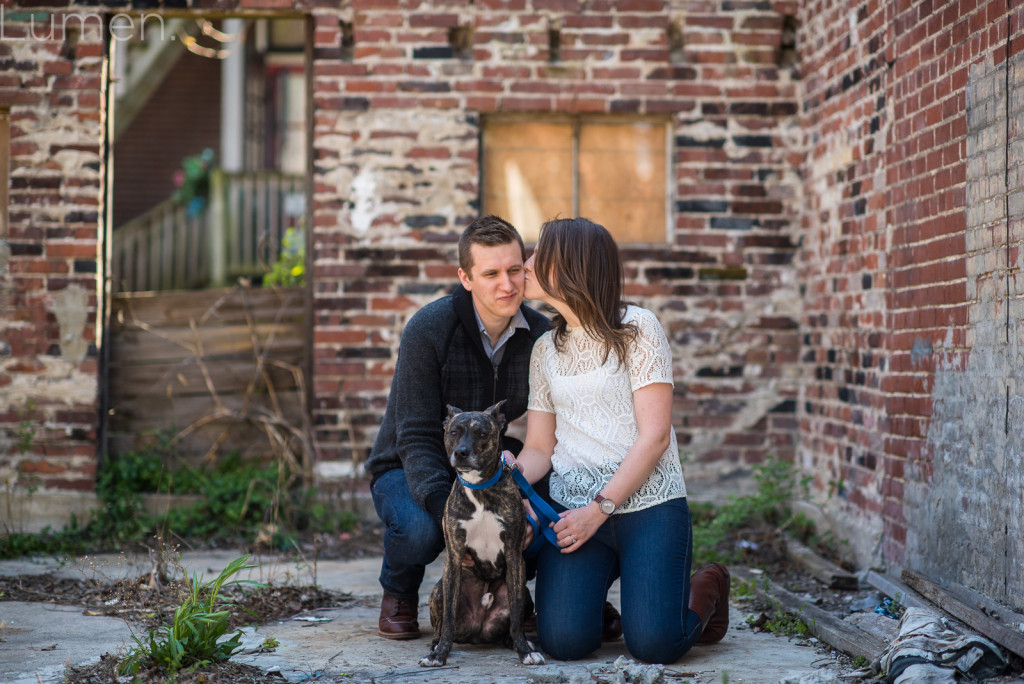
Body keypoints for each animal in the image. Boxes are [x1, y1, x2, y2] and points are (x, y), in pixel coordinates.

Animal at [417, 401, 548, 667]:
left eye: (482, 434)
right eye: (453, 432)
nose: (461, 452)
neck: (479, 488)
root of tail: (477, 633)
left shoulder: (513, 555)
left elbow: (516, 619)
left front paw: (524, 651)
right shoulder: (454, 557)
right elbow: (447, 619)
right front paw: (439, 654)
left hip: (526, 595)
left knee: (513, 623)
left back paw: (520, 643)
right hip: (438, 590)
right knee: (441, 624)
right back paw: (435, 644)